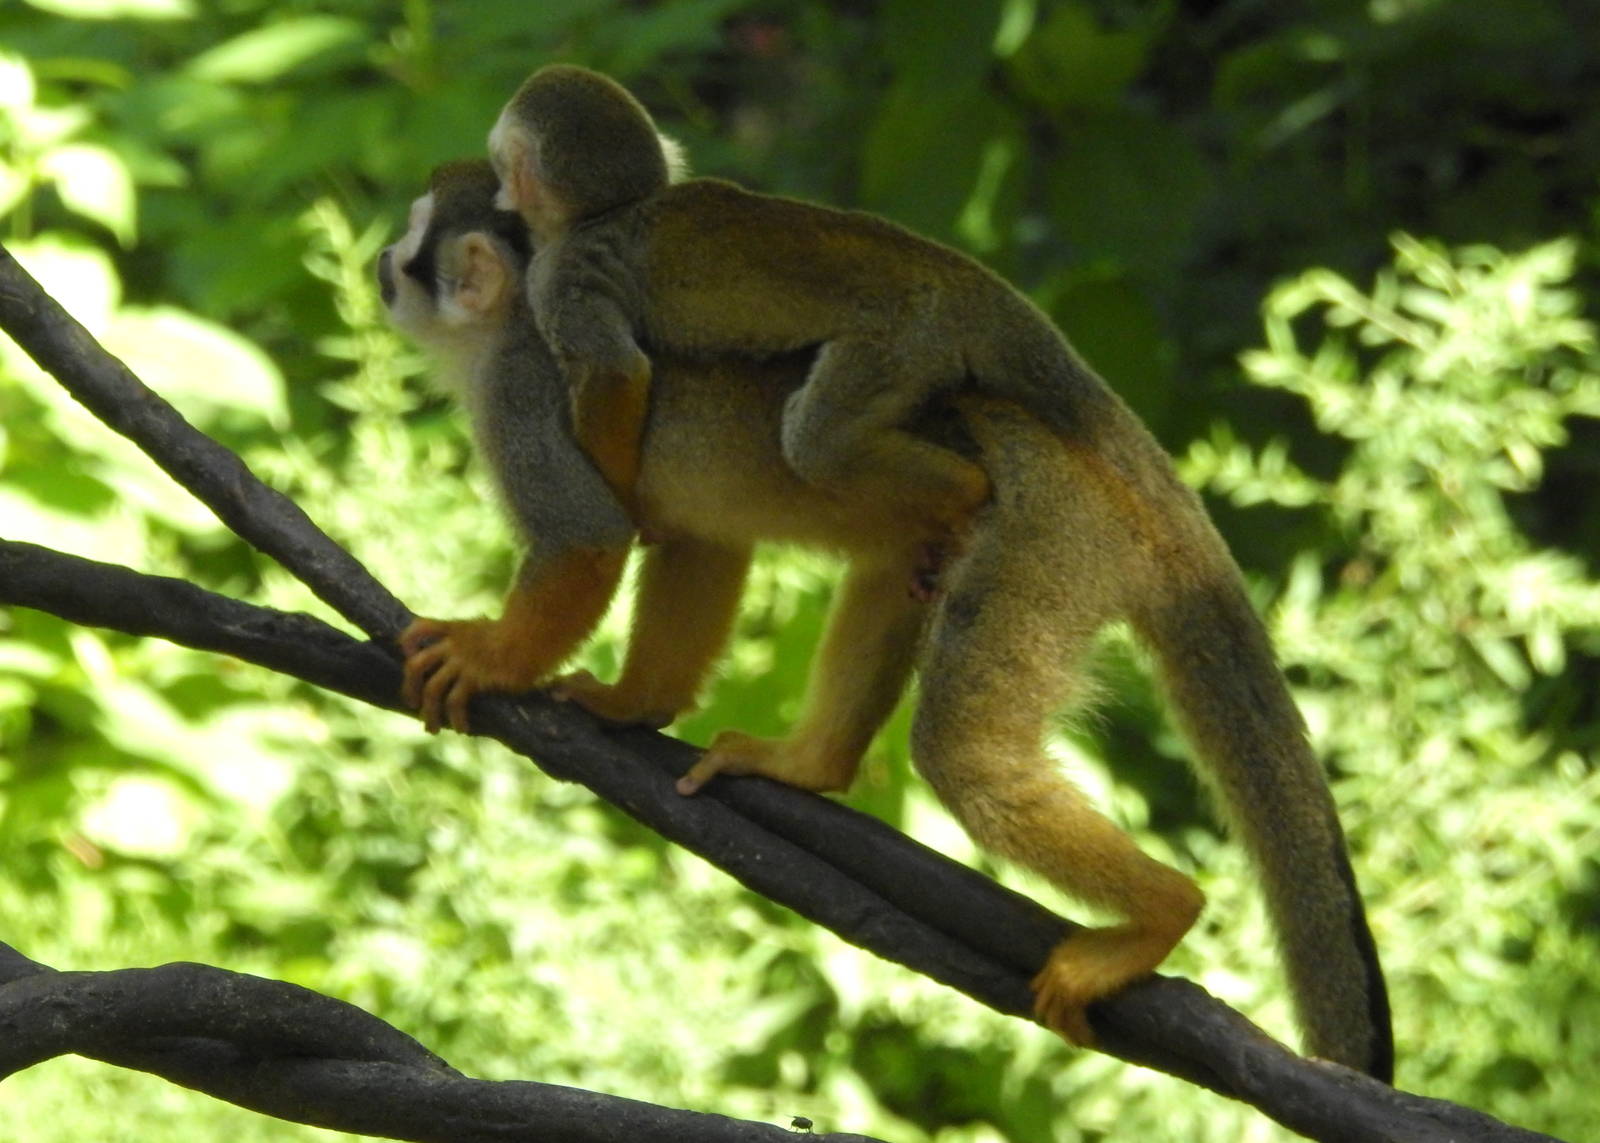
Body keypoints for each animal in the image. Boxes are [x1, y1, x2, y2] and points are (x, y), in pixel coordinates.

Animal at [380, 159, 1393, 1080]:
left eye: (412, 246)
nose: (384, 264)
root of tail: (1106, 479)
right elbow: (699, 541)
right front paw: (635, 701)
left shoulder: (520, 387)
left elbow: (588, 540)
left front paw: (490, 660)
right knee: (893, 565)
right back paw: (812, 763)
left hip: (1042, 543)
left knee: (968, 755)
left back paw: (1162, 912)